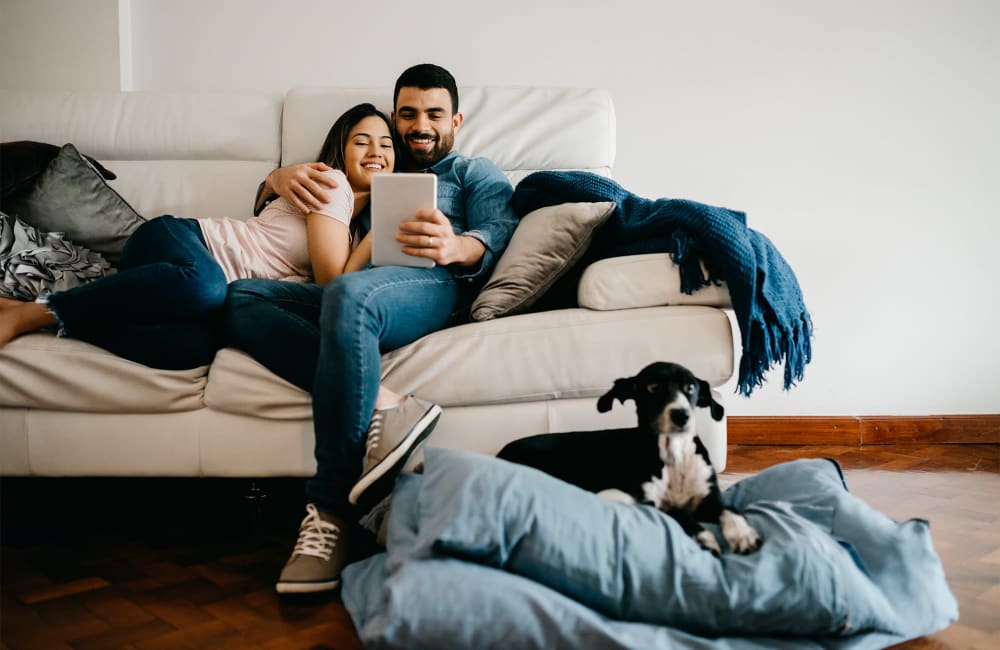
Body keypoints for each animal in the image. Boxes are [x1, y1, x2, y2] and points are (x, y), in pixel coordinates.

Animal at [496, 362, 760, 556]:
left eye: (691, 387)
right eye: (653, 386)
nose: (682, 415)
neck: (673, 458)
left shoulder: (709, 498)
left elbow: (730, 509)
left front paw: (743, 534)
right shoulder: (651, 502)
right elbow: (679, 514)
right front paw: (705, 537)